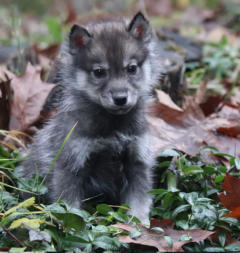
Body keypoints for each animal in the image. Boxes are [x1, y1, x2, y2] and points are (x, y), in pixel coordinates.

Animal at [21, 12, 162, 224]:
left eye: (131, 68)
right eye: (99, 72)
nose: (120, 99)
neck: (113, 126)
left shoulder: (137, 162)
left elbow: (139, 203)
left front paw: (139, 225)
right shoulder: (71, 164)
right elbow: (69, 207)